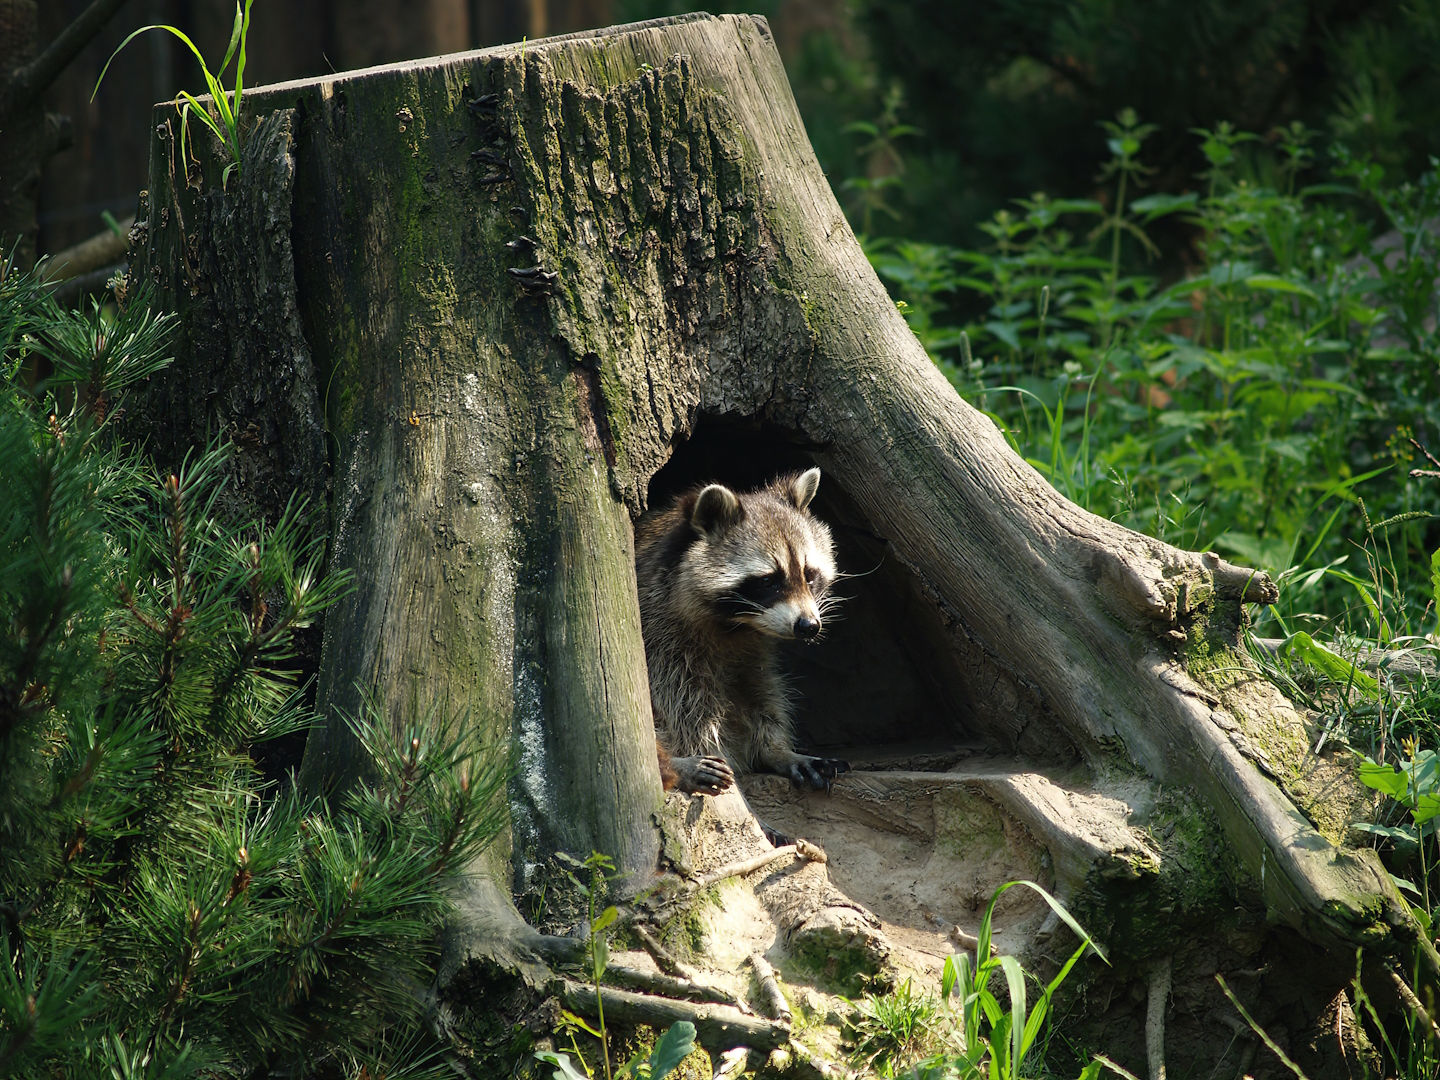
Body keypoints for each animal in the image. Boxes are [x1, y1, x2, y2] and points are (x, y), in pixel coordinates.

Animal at [635, 467, 851, 794]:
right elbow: (680, 704)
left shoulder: (751, 648)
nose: (809, 626)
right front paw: (695, 751)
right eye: (768, 581)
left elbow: (758, 690)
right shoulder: (658, 634)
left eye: (809, 575)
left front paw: (776, 749)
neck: (734, 626)